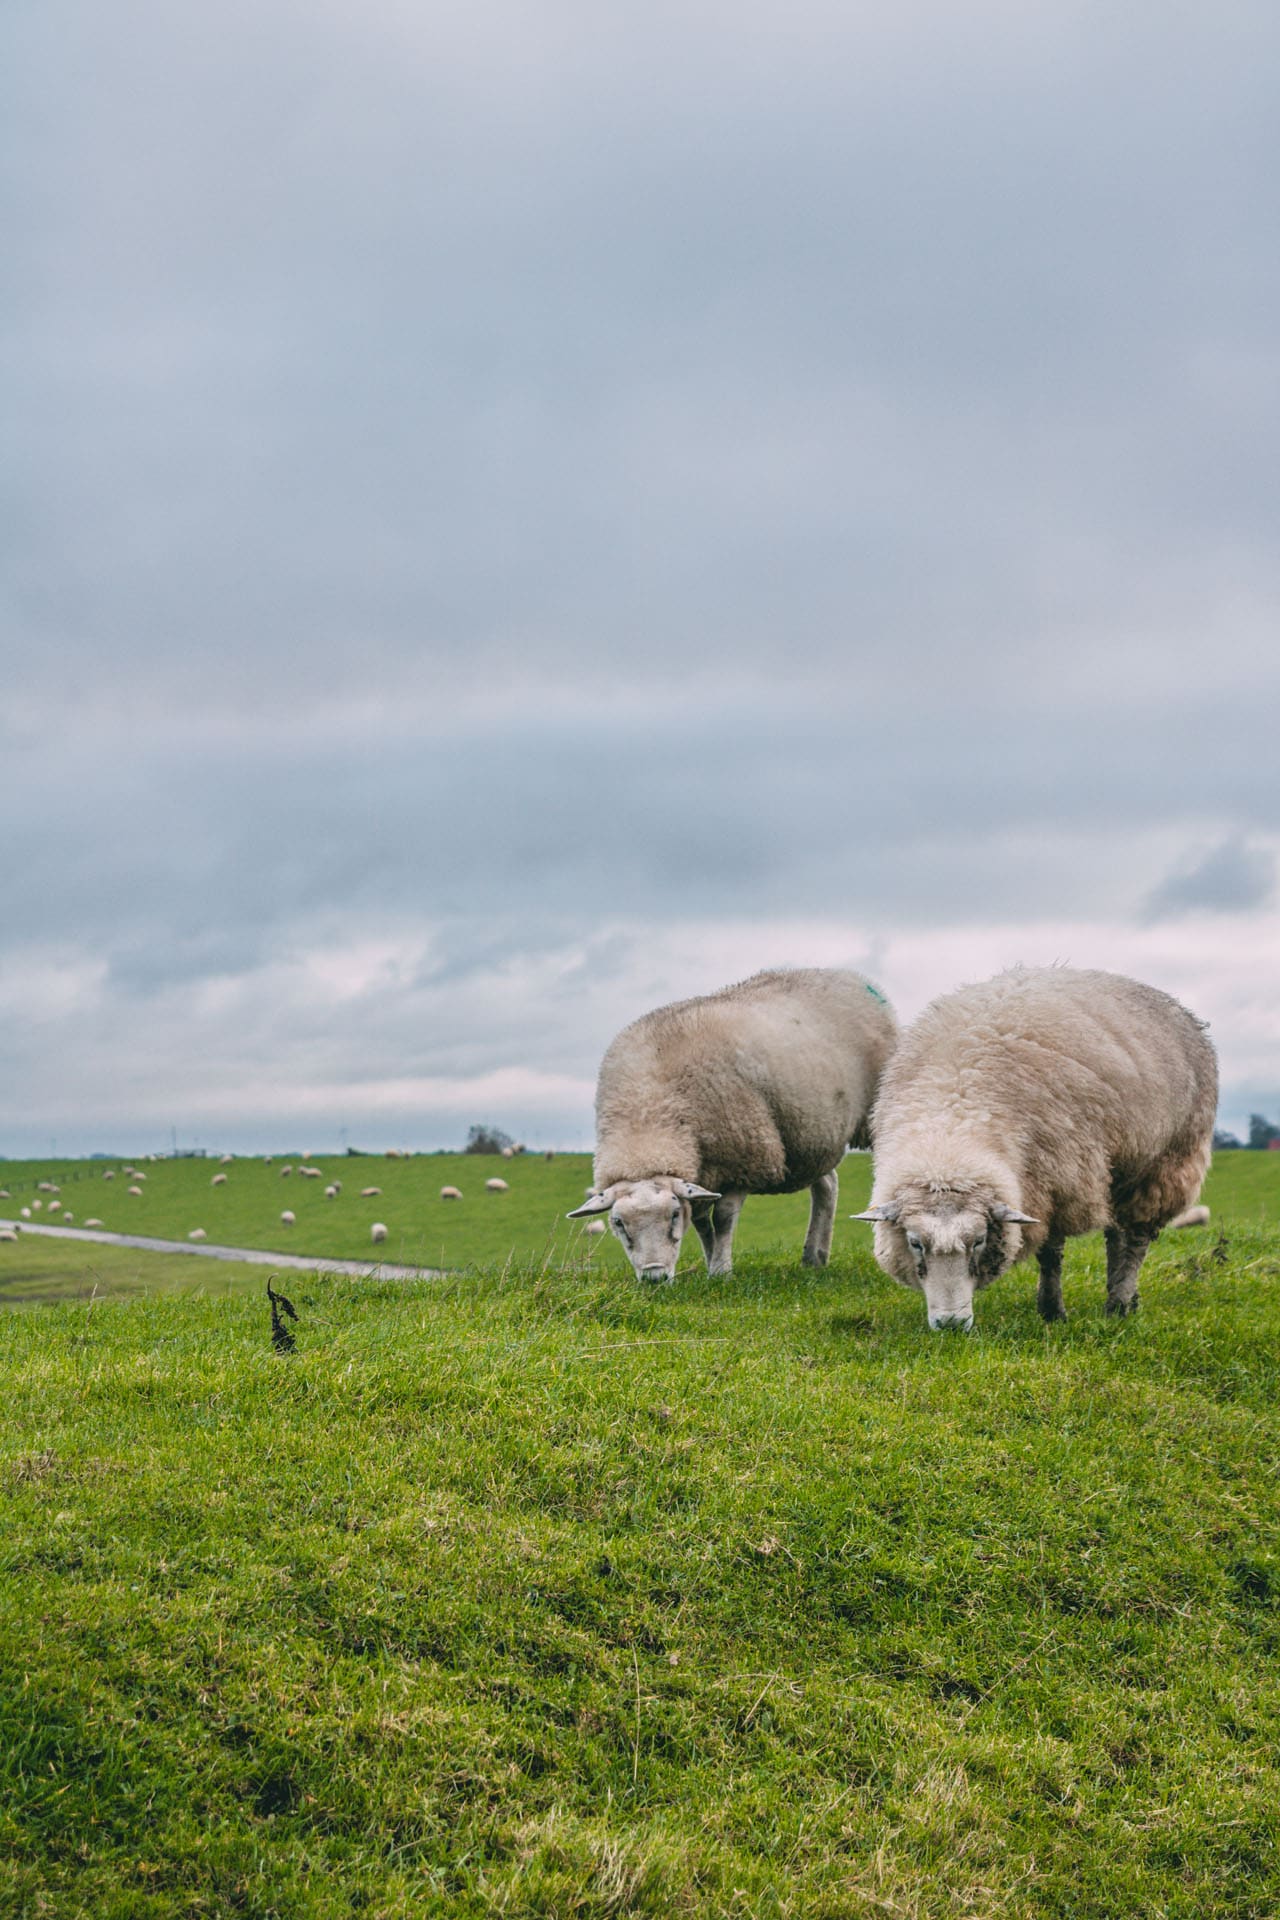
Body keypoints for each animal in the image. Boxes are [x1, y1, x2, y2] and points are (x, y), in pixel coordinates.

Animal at [571, 967, 901, 1282]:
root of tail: (848, 976)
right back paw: (814, 1256)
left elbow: (723, 1217)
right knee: (827, 1185)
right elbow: (702, 1224)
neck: (648, 1112)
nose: (654, 1277)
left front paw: (721, 1271)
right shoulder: (704, 1171)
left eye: (674, 1214)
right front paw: (709, 1263)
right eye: (618, 1223)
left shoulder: (743, 1157)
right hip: (808, 1134)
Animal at [855, 967, 1220, 1328]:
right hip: (1124, 1168)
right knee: (1116, 1236)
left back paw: (1118, 1302)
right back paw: (1125, 1299)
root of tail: (1182, 1011)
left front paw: (1052, 1311)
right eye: (915, 1242)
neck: (948, 1134)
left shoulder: (1058, 1182)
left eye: (979, 1241)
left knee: (1136, 1239)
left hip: (1166, 1164)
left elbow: (1050, 1253)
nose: (951, 1324)